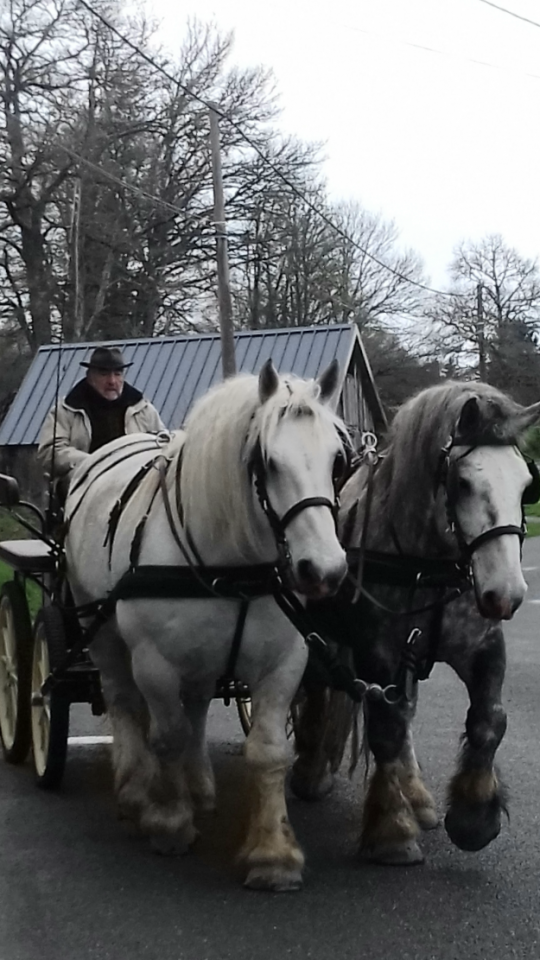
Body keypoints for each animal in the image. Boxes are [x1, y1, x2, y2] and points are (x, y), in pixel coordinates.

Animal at [63, 359, 349, 891]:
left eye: (337, 460)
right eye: (267, 462)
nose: (324, 570)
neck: (232, 566)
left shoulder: (284, 661)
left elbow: (267, 750)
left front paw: (273, 853)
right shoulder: (153, 661)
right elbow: (167, 735)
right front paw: (169, 821)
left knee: (195, 707)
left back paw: (197, 787)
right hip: (103, 632)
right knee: (123, 701)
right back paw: (136, 789)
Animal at [290, 380, 540, 864]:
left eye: (525, 483)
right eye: (463, 482)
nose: (507, 593)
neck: (427, 564)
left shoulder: (482, 644)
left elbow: (489, 720)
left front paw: (474, 815)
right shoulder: (378, 652)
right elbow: (386, 729)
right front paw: (391, 830)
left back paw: (417, 796)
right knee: (318, 688)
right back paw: (311, 769)